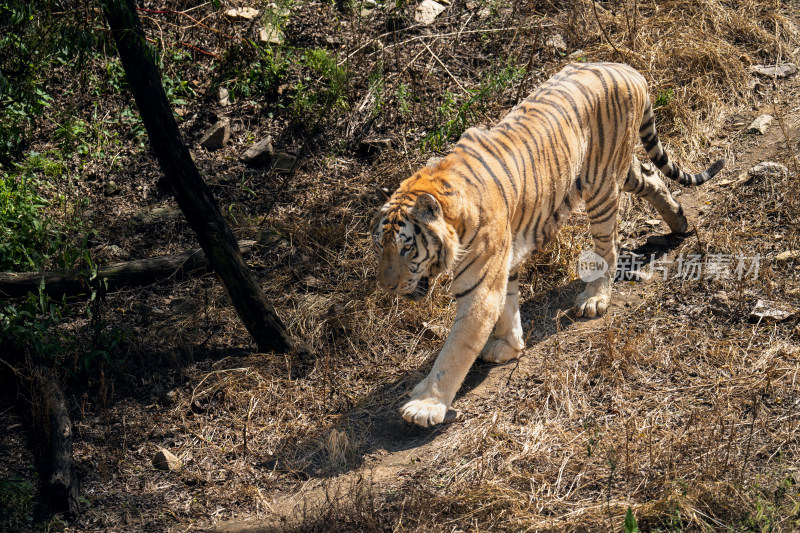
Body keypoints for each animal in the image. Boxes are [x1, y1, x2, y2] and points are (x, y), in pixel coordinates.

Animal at [372, 63, 728, 428]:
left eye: (406, 249)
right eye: (379, 247)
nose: (387, 287)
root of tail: (627, 68)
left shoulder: (479, 287)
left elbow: (455, 350)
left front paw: (426, 405)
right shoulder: (503, 266)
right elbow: (508, 304)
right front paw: (509, 345)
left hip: (601, 186)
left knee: (608, 248)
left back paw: (595, 298)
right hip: (621, 169)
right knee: (652, 176)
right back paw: (680, 222)